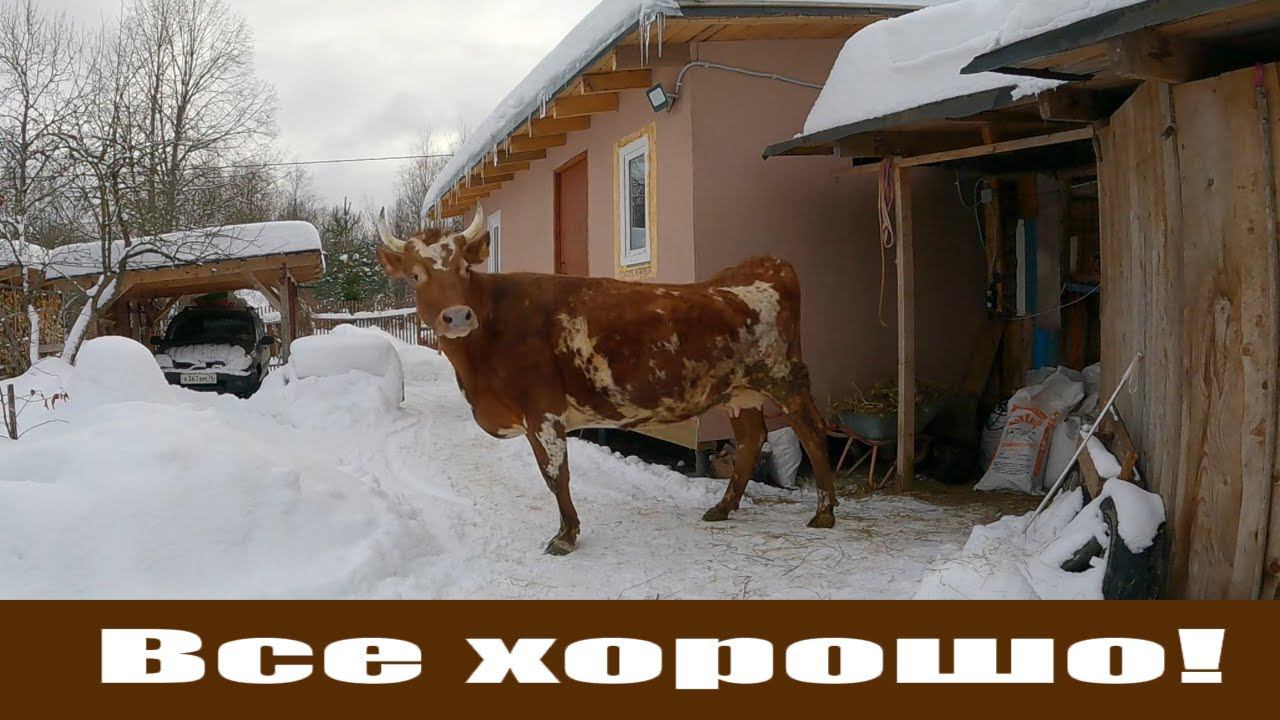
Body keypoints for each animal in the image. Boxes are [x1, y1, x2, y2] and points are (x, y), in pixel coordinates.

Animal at [375, 207, 838, 555]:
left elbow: (555, 474)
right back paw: (723, 508)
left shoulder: (542, 410)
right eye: (416, 274)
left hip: (784, 378)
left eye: (463, 267)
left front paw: (566, 535)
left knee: (812, 431)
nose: (456, 317)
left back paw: (825, 512)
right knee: (750, 438)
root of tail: (763, 265)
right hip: (739, 392)